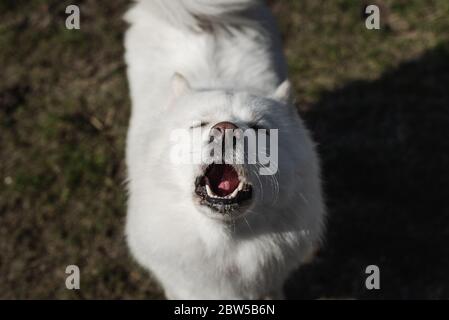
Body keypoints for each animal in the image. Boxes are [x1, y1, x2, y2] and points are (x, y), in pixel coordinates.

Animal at [124, 0, 324, 300]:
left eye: (258, 127)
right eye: (200, 124)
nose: (226, 129)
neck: (228, 242)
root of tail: (205, 19)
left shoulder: (269, 283)